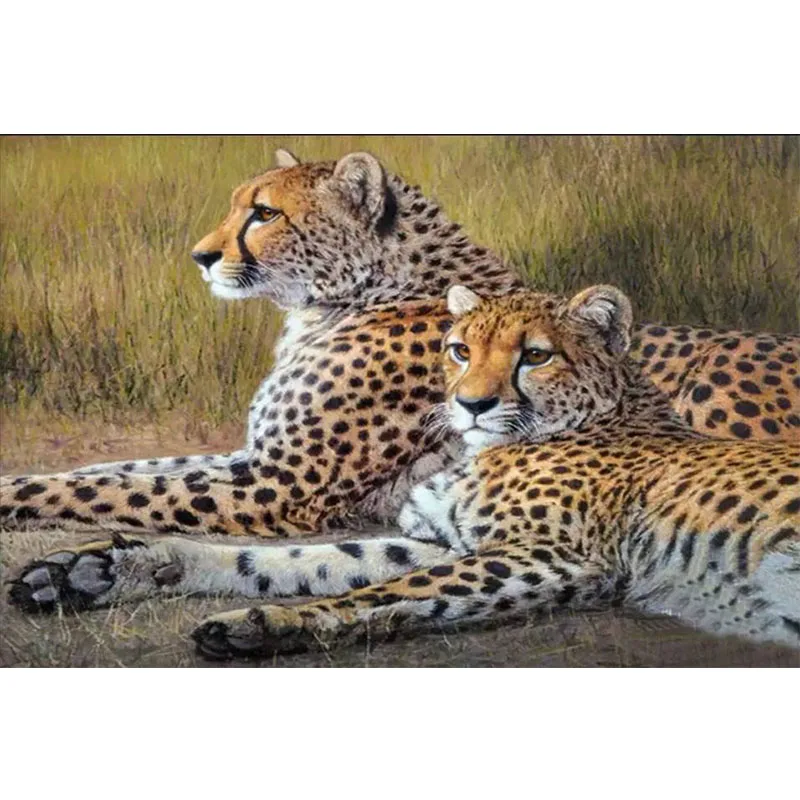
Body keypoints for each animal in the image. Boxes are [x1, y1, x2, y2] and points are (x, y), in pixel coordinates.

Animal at [1, 148, 798, 552]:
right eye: (237, 207)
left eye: (264, 214)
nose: (200, 257)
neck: (342, 299)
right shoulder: (259, 459)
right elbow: (115, 469)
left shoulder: (281, 487)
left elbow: (109, 489)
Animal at [9, 285, 799, 662]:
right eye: (459, 349)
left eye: (535, 355)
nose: (471, 403)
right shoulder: (438, 539)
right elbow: (299, 562)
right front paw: (102, 569)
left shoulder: (555, 558)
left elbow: (383, 590)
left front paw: (268, 624)